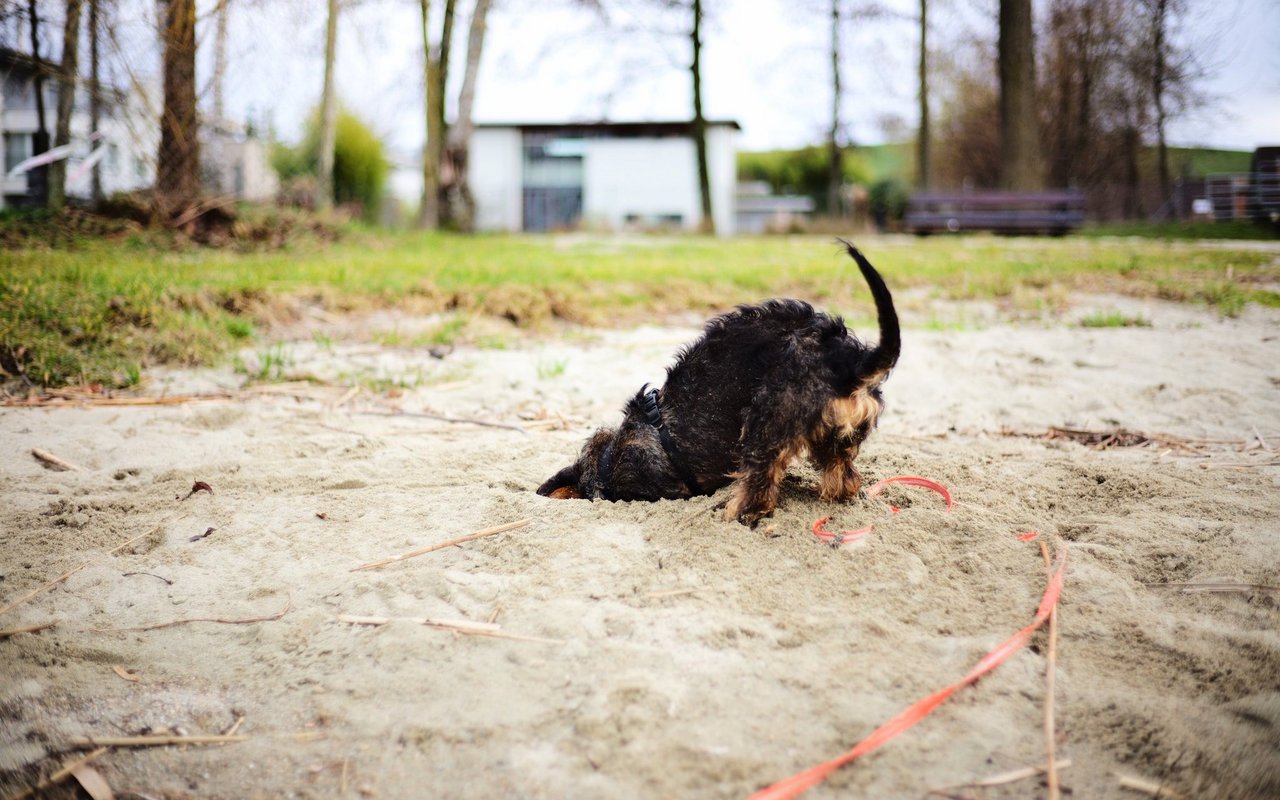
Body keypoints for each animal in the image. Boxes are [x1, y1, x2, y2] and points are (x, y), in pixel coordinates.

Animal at [537, 247, 901, 527]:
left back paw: (732, 514)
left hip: (765, 422)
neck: (608, 457)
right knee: (844, 479)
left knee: (758, 490)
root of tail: (849, 360)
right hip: (836, 439)